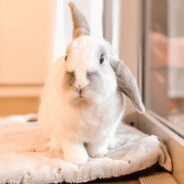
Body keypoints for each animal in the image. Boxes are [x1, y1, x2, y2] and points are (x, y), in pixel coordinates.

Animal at [38, 2, 145, 165]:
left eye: (101, 59)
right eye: (66, 57)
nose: (80, 84)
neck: (85, 104)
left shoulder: (101, 135)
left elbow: (97, 146)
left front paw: (98, 155)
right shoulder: (69, 137)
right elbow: (74, 149)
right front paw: (78, 161)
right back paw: (55, 146)